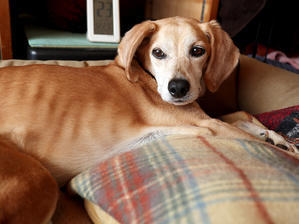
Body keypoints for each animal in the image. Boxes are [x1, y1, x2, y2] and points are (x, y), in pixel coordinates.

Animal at [0, 17, 296, 222]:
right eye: (157, 52)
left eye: (197, 50)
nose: (178, 89)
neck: (147, 78)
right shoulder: (208, 126)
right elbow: (243, 127)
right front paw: (283, 145)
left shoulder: (206, 119)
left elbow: (241, 115)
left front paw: (276, 136)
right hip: (36, 179)